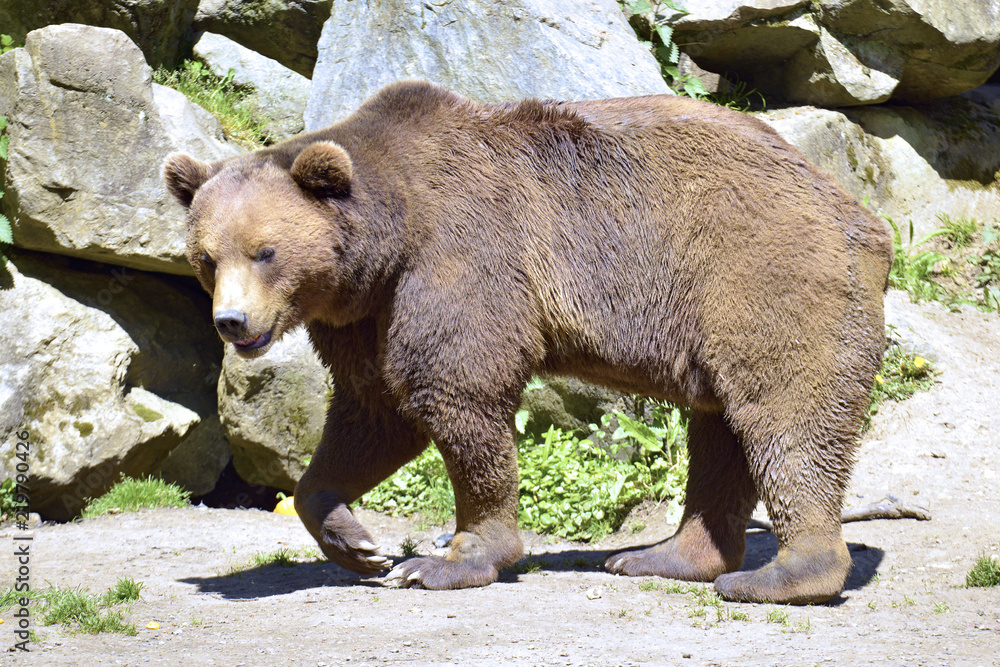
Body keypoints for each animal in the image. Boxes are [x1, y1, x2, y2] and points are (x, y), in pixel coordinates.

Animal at [163, 80, 893, 605]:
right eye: (206, 258)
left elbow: (455, 394)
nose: (232, 322)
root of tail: (858, 211)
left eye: (265, 251)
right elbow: (373, 414)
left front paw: (447, 559)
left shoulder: (460, 260)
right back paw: (662, 556)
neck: (385, 242)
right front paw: (358, 543)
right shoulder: (364, 317)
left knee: (784, 415)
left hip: (761, 276)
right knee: (720, 431)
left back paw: (782, 576)